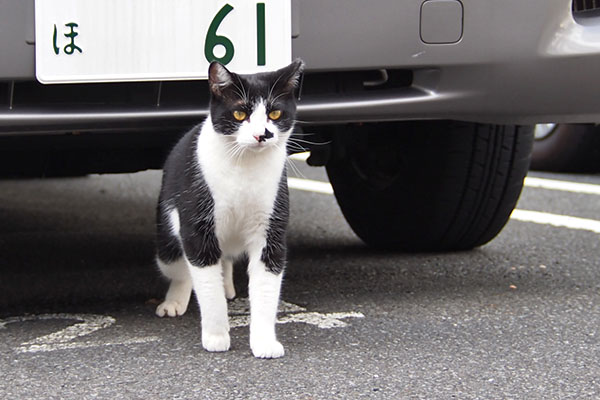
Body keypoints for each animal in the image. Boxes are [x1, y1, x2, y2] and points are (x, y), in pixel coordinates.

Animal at [155, 59, 304, 360]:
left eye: (274, 112)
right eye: (239, 113)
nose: (262, 134)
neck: (244, 167)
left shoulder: (270, 230)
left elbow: (266, 288)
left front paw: (264, 342)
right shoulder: (198, 231)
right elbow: (206, 286)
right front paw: (216, 337)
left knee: (222, 259)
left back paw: (226, 285)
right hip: (168, 241)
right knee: (181, 269)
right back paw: (174, 301)